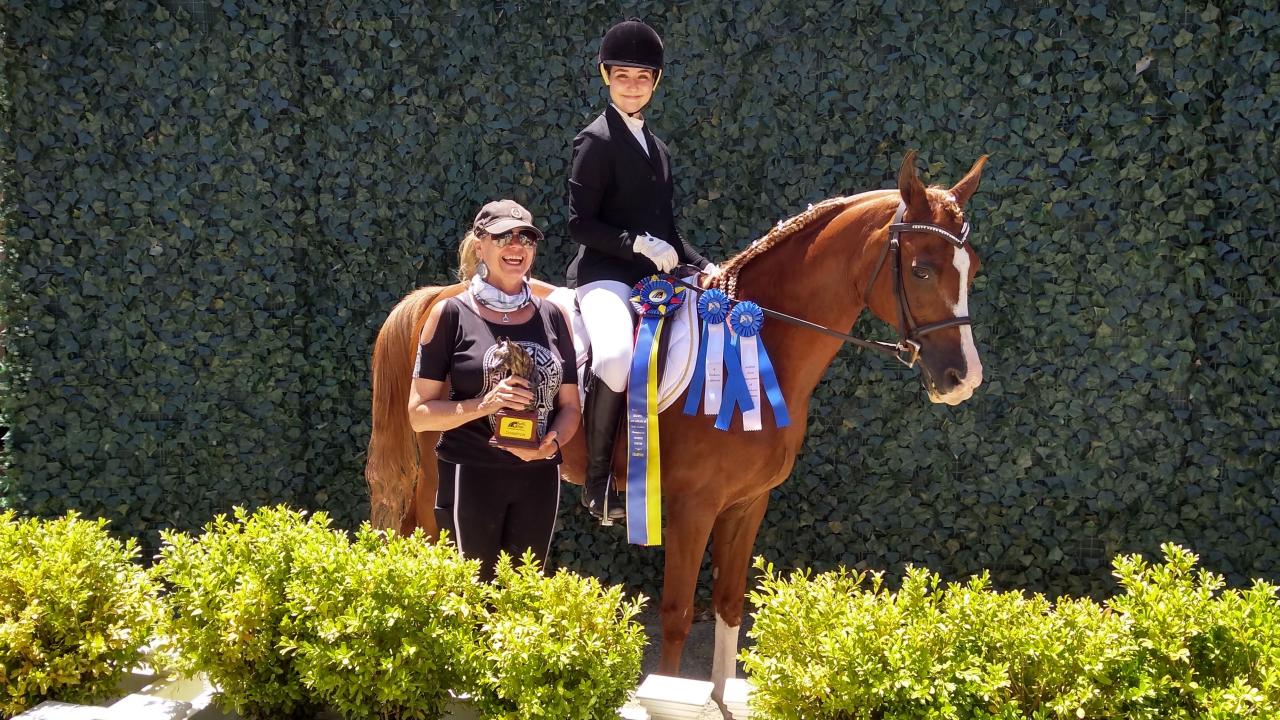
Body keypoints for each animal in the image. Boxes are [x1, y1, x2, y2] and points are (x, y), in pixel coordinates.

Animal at [366, 149, 983, 696]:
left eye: (971, 269)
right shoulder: (693, 509)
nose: (963, 378)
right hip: (435, 475)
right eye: (922, 270)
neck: (752, 346)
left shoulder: (746, 504)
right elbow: (679, 613)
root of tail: (441, 296)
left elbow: (730, 606)